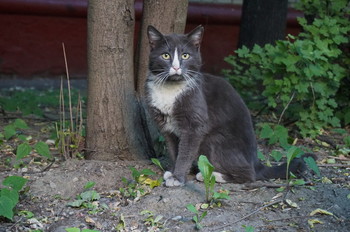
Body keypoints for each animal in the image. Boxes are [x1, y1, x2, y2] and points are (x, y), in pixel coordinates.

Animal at [145, 24, 308, 187]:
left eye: (185, 56)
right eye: (165, 56)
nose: (176, 67)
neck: (170, 89)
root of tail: (257, 164)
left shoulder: (195, 125)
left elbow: (185, 153)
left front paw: (177, 178)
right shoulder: (167, 127)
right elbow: (174, 151)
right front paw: (173, 172)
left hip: (214, 139)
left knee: (249, 174)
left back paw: (210, 175)